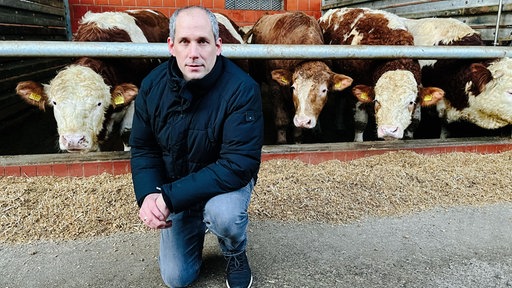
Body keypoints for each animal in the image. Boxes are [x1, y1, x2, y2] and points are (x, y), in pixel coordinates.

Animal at [245, 11, 352, 144]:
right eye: (294, 88)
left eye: (324, 90)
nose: (303, 121)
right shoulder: (275, 87)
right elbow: (281, 118)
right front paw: (281, 141)